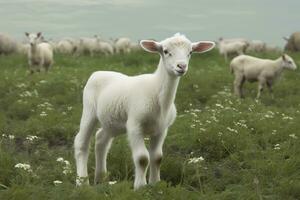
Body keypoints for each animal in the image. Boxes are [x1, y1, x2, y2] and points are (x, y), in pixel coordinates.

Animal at [74, 32, 216, 189]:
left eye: (190, 52)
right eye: (165, 51)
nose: (181, 66)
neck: (156, 90)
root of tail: (97, 72)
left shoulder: (161, 129)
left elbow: (157, 157)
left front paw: (155, 183)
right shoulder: (134, 126)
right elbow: (142, 158)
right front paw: (140, 186)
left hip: (113, 122)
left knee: (101, 139)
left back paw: (101, 178)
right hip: (89, 110)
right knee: (81, 142)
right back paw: (82, 182)